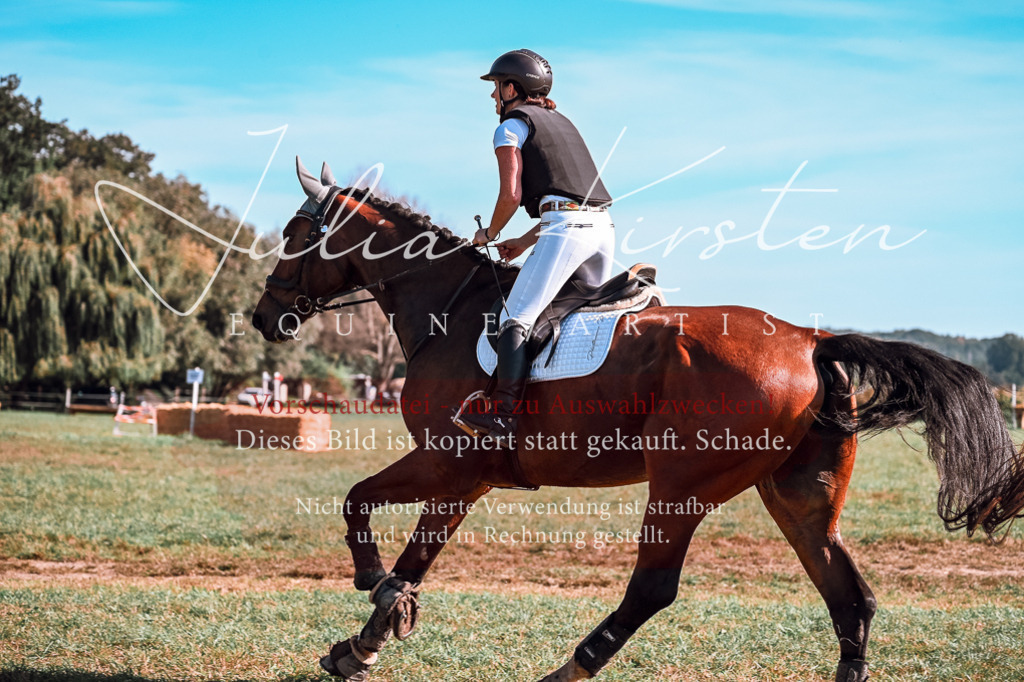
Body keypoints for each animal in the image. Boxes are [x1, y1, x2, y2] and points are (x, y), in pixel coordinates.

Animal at [251, 159, 1024, 682]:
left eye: (294, 233)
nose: (264, 316)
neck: (448, 305)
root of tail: (811, 339)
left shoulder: (448, 463)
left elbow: (364, 509)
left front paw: (372, 594)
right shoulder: (464, 479)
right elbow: (403, 546)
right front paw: (366, 639)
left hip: (682, 484)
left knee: (654, 587)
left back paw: (568, 669)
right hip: (797, 495)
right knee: (848, 595)